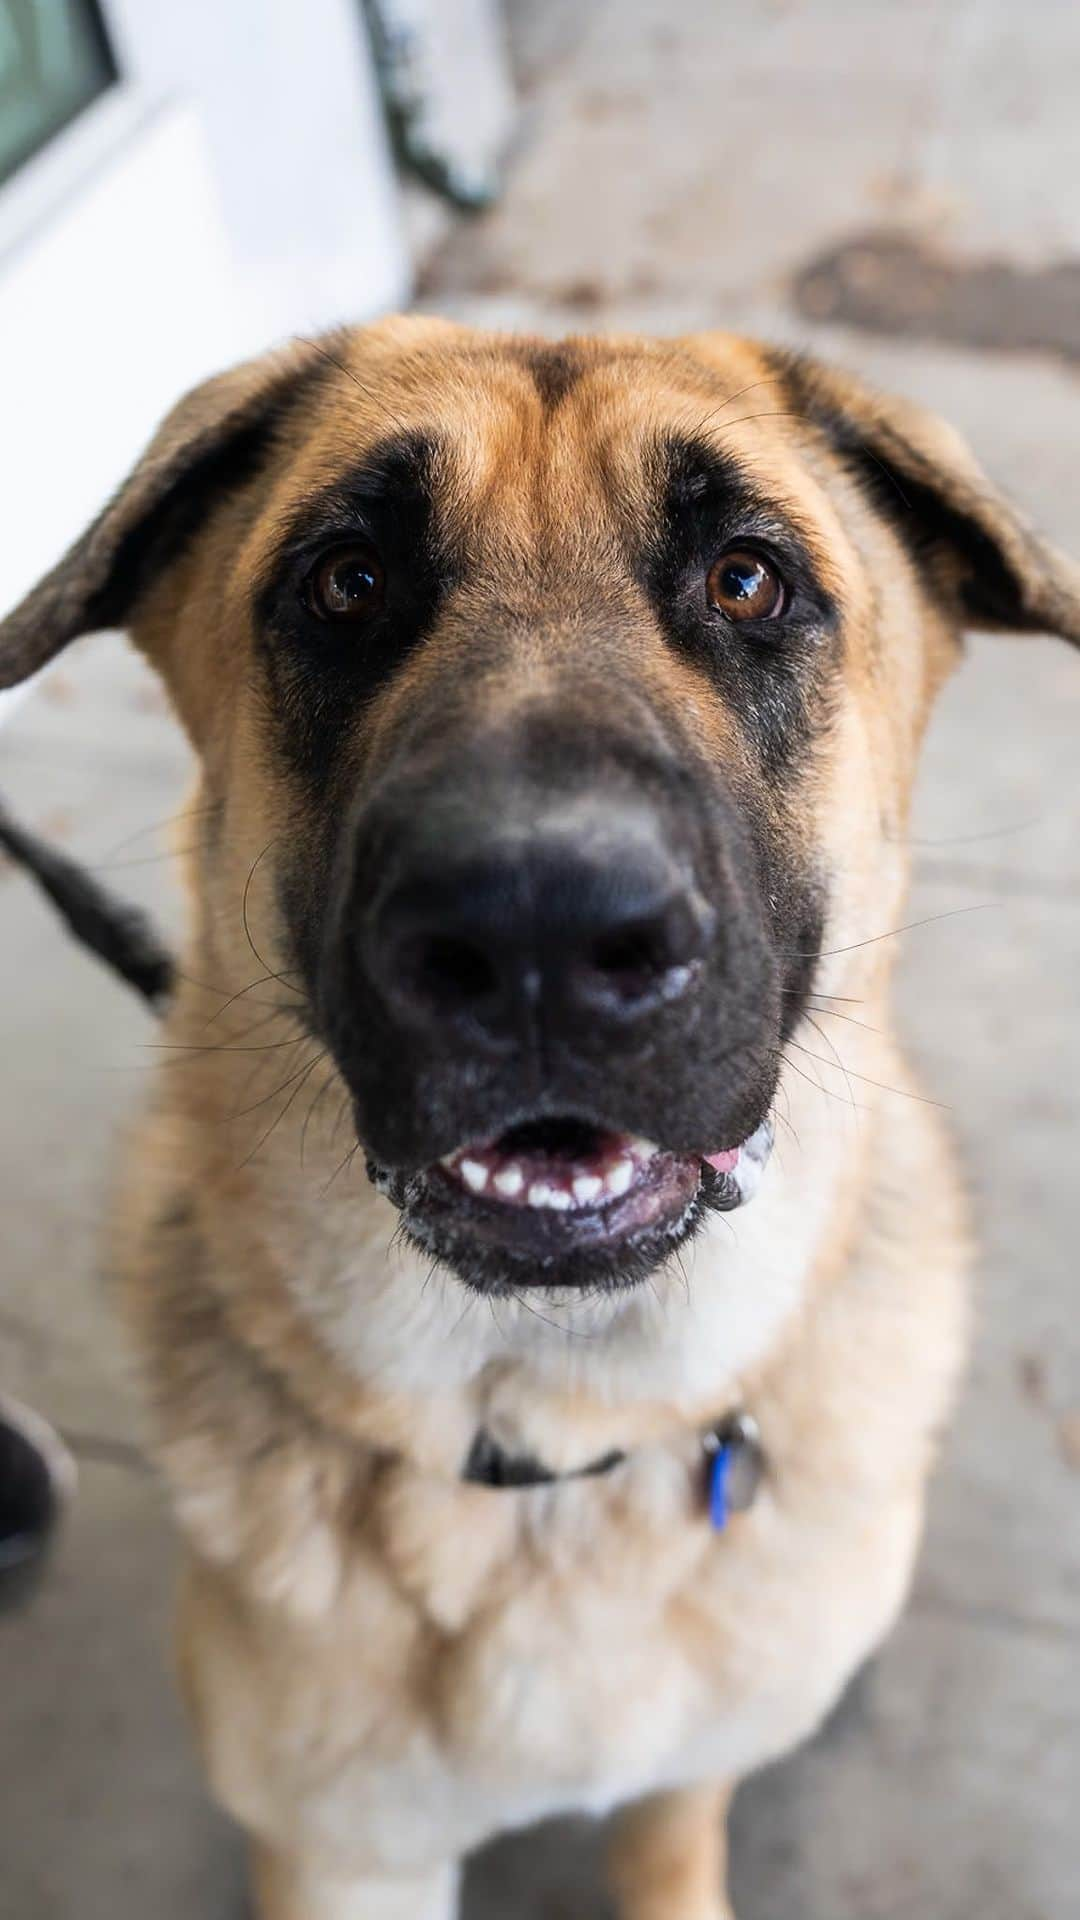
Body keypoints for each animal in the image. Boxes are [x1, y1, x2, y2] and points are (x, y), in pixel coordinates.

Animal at [4, 322, 1068, 1912]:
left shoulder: (683, 1784)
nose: (537, 929)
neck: (550, 1455)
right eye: (347, 581)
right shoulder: (342, 1857)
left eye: (747, 579)